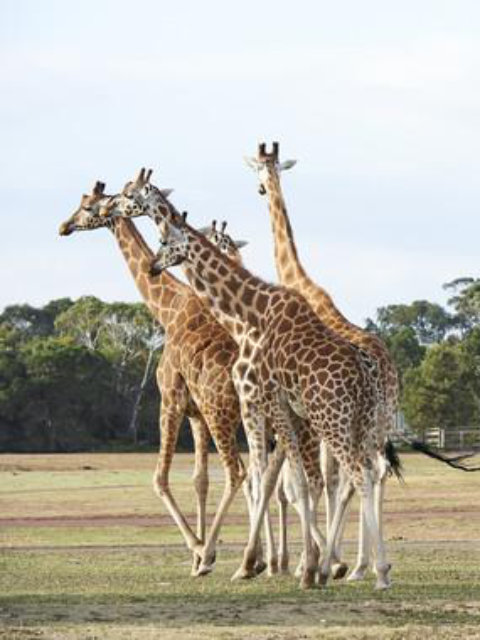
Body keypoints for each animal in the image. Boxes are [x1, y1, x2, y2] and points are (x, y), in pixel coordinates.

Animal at [58, 178, 266, 576]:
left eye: (88, 207)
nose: (64, 226)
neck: (168, 310)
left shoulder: (171, 398)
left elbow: (159, 478)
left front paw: (201, 552)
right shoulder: (195, 414)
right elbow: (199, 480)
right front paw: (201, 554)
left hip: (223, 413)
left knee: (241, 473)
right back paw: (263, 560)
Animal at [246, 142, 400, 584]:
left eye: (260, 173)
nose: (260, 189)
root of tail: (387, 369)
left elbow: (310, 481)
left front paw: (312, 561)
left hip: (352, 421)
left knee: (357, 475)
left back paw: (354, 565)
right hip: (377, 421)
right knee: (374, 471)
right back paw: (366, 565)